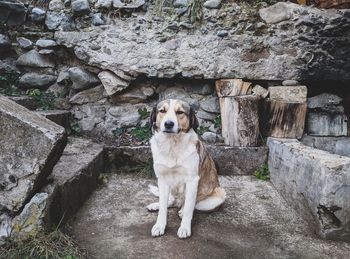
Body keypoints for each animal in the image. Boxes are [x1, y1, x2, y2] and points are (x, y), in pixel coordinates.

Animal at [146, 99, 226, 240]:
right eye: (162, 111)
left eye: (180, 112)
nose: (168, 124)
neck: (172, 145)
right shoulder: (162, 179)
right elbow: (163, 208)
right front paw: (159, 225)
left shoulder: (192, 180)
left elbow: (189, 207)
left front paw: (184, 228)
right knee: (171, 201)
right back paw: (156, 205)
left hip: (219, 195)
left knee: (190, 204)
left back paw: (182, 210)